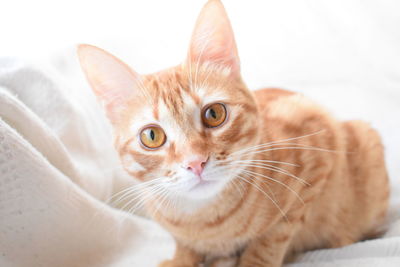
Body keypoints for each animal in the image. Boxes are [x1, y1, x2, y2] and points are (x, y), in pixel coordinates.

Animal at [76, 0, 390, 267]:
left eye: (214, 114)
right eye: (152, 136)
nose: (195, 163)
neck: (204, 222)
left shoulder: (315, 141)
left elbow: (271, 238)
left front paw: (252, 260)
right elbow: (183, 247)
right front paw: (180, 260)